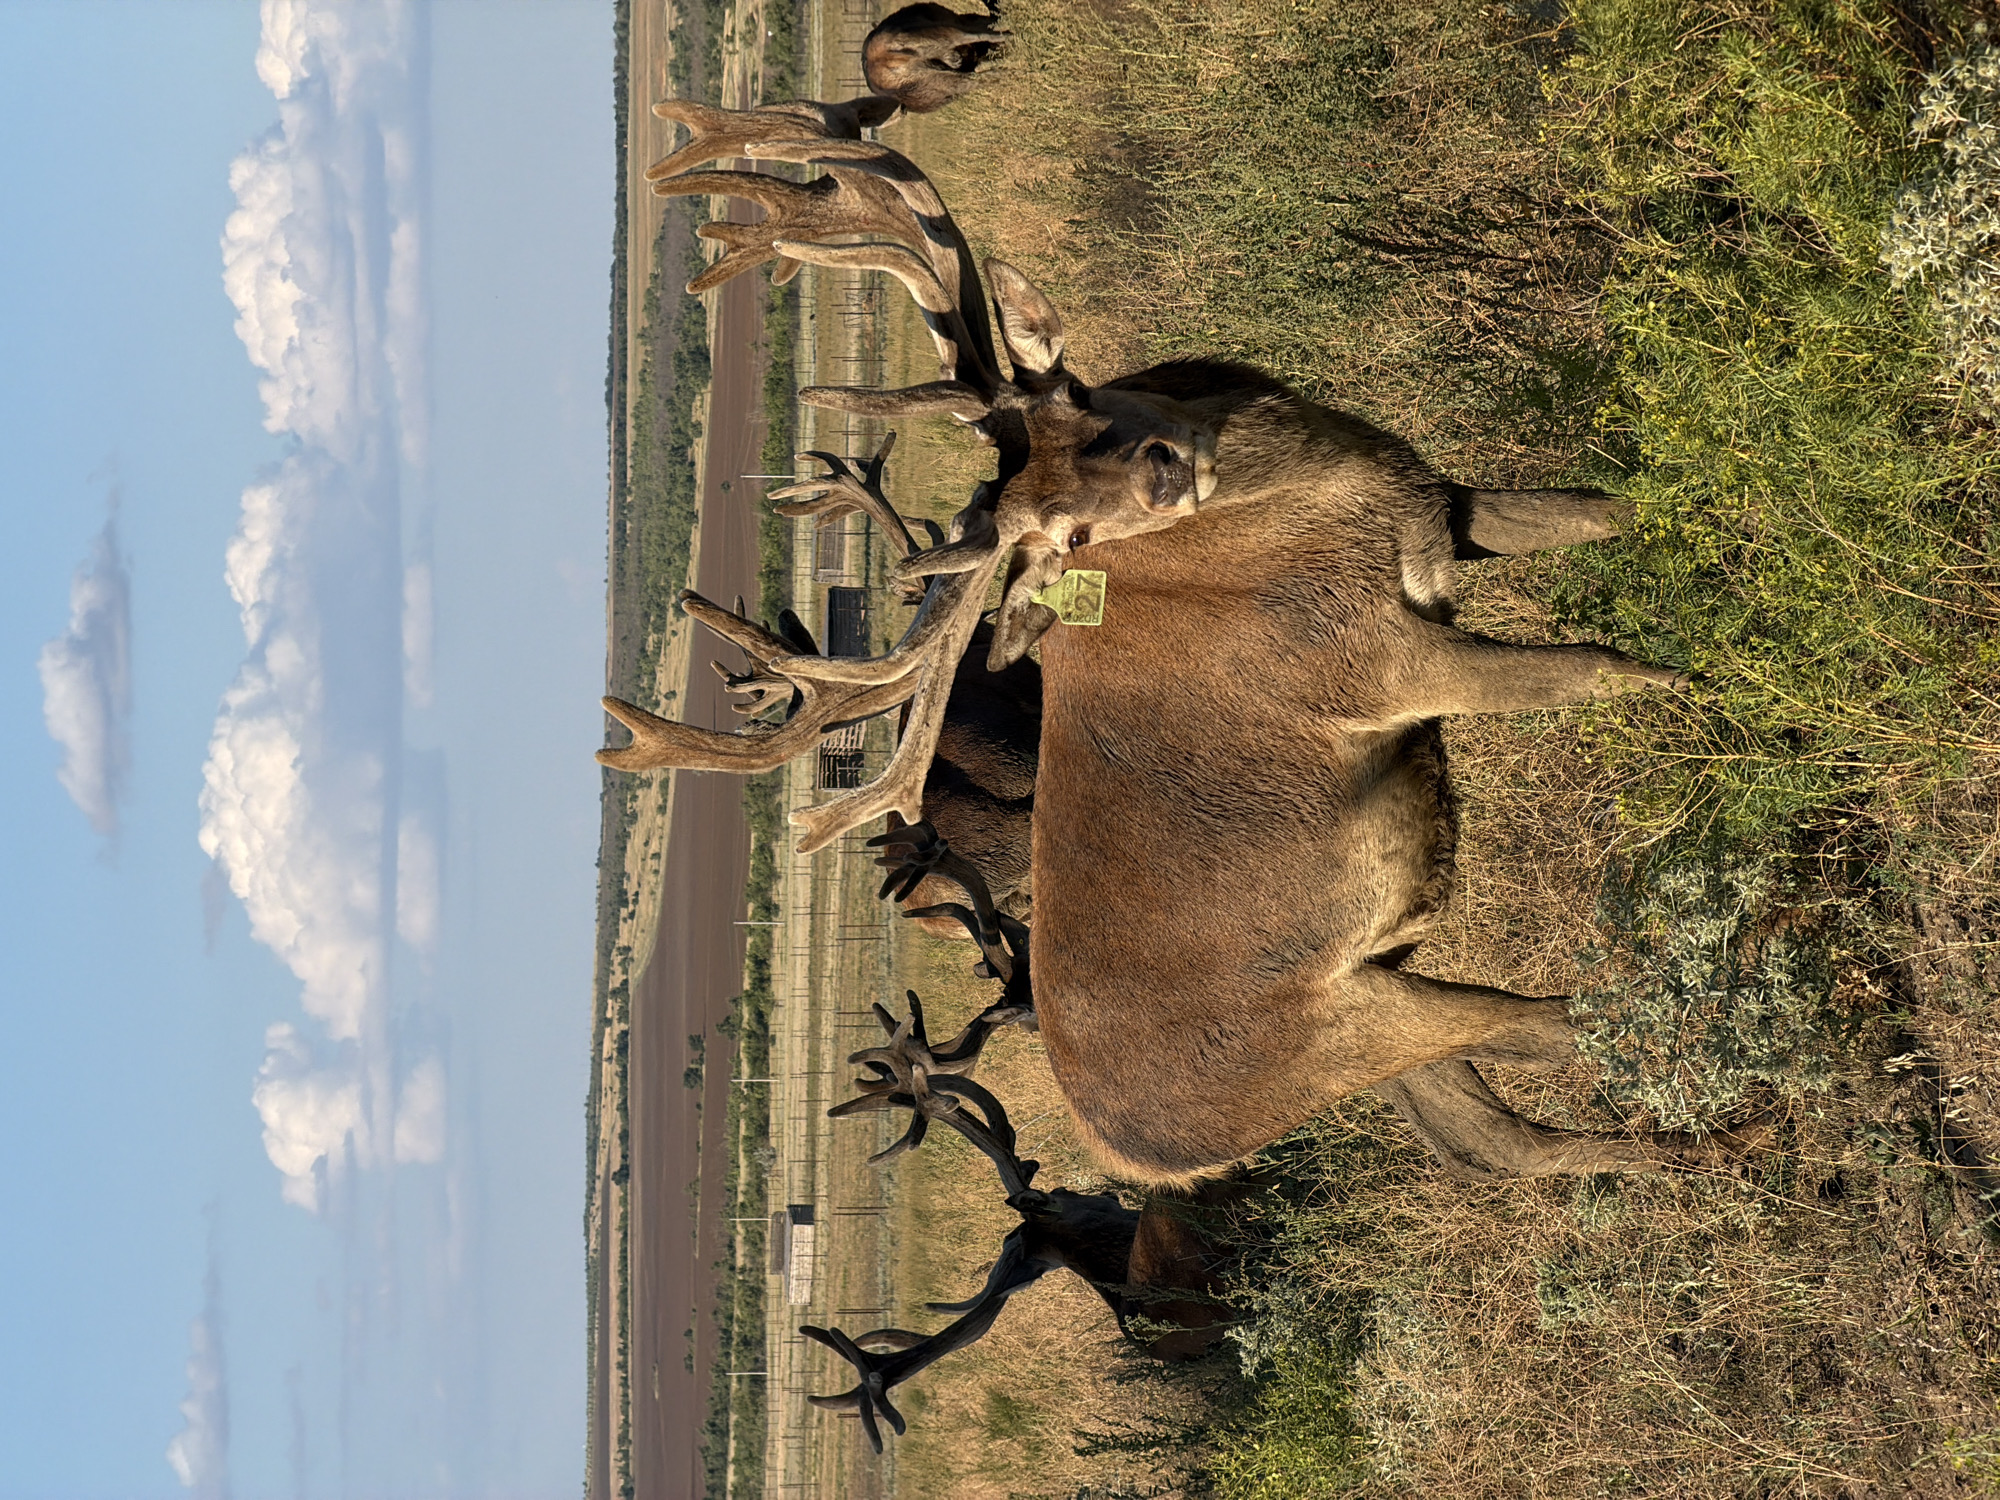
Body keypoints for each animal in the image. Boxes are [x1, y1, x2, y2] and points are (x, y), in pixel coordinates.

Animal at [600, 99, 1765, 1190]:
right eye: (1061, 538)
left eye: (1075, 401)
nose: (1161, 469)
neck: (1313, 505)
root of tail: (1154, 1159)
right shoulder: (1370, 659)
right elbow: (1595, 671)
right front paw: (1731, 706)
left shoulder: (1443, 505)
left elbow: (1602, 507)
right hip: (1344, 1023)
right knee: (1555, 1027)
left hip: (1382, 984)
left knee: (1499, 1131)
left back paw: (1710, 1149)